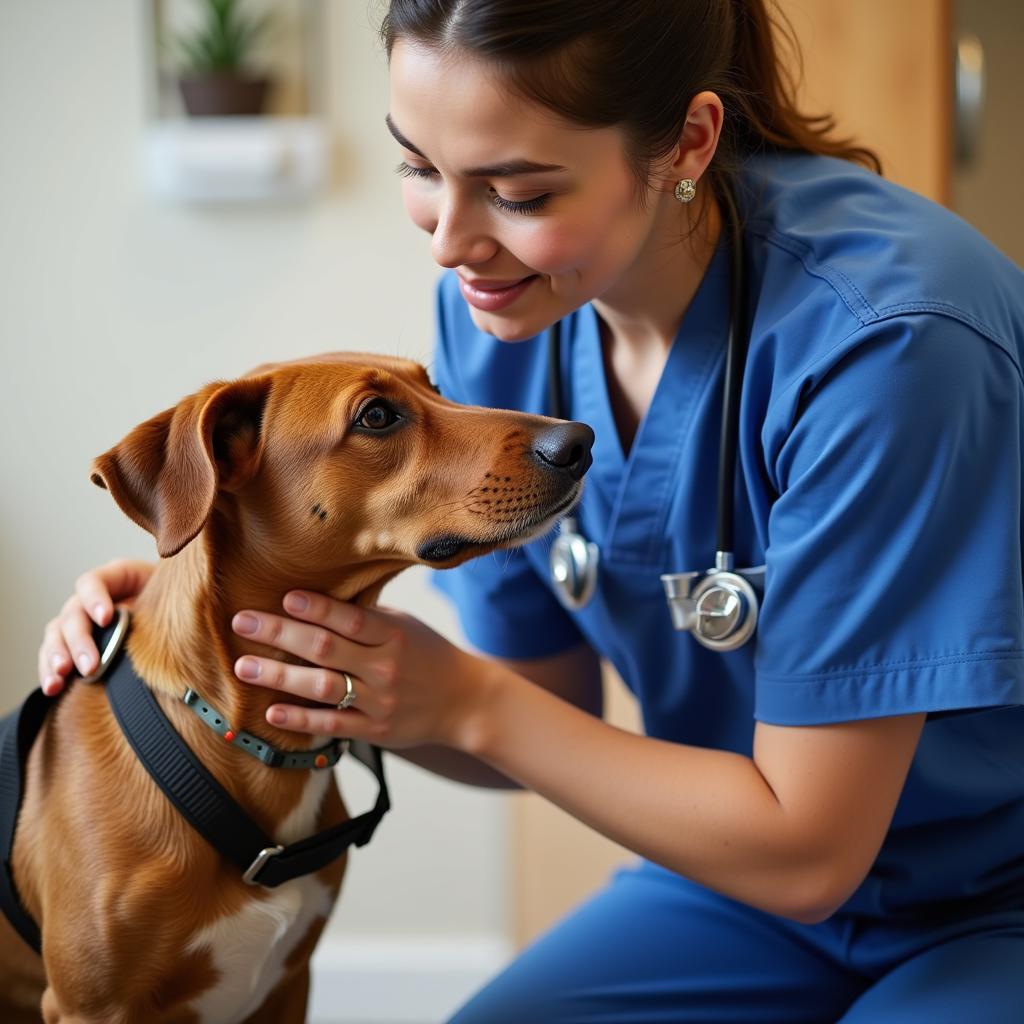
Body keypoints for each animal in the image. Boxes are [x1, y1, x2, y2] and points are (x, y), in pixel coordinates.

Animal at [0, 354, 593, 1024]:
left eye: (436, 387)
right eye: (377, 416)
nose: (579, 441)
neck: (235, 738)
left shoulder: (289, 983)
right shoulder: (92, 1004)